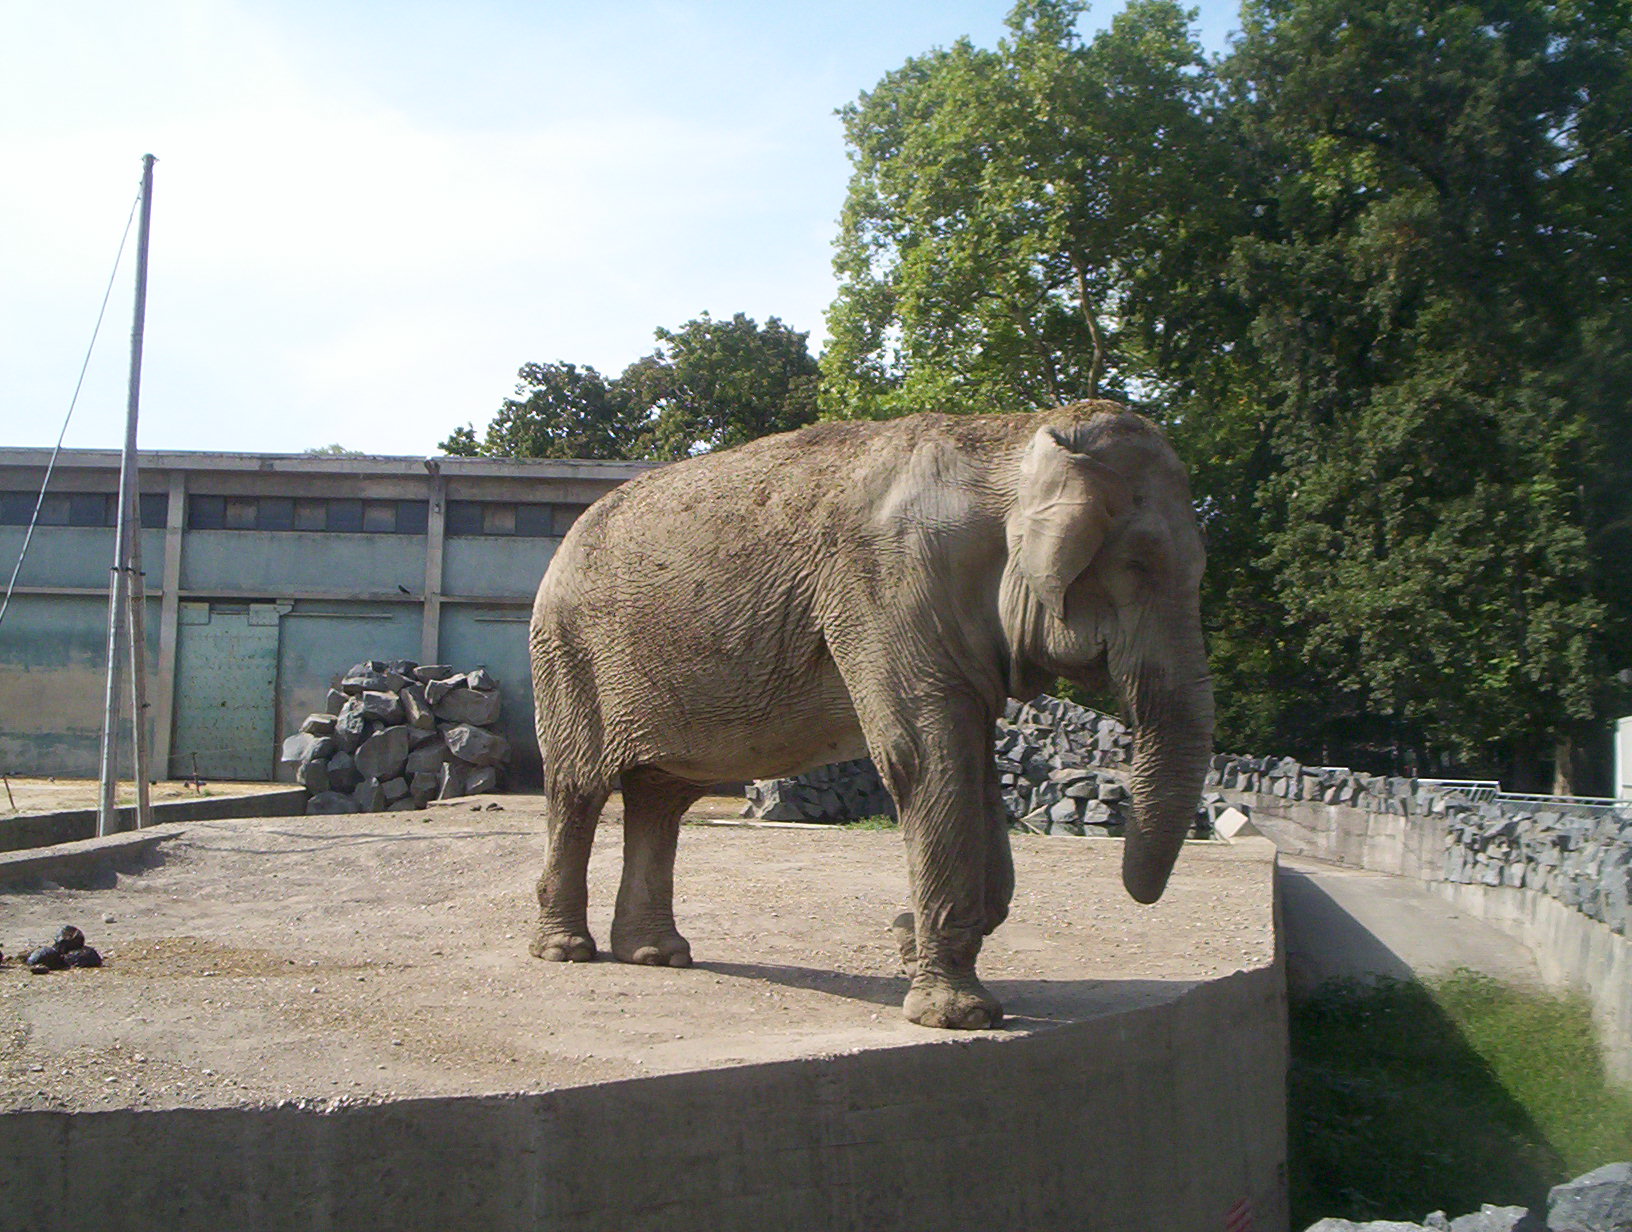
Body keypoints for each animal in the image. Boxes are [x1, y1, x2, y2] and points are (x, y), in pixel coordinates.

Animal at [528, 399, 1220, 1024]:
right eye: (1138, 565)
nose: (895, 924)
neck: (1014, 432)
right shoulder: (886, 587)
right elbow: (925, 757)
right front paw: (954, 1014)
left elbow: (973, 765)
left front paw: (912, 942)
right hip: (567, 657)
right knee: (578, 788)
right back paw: (565, 952)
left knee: (660, 797)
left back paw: (657, 955)